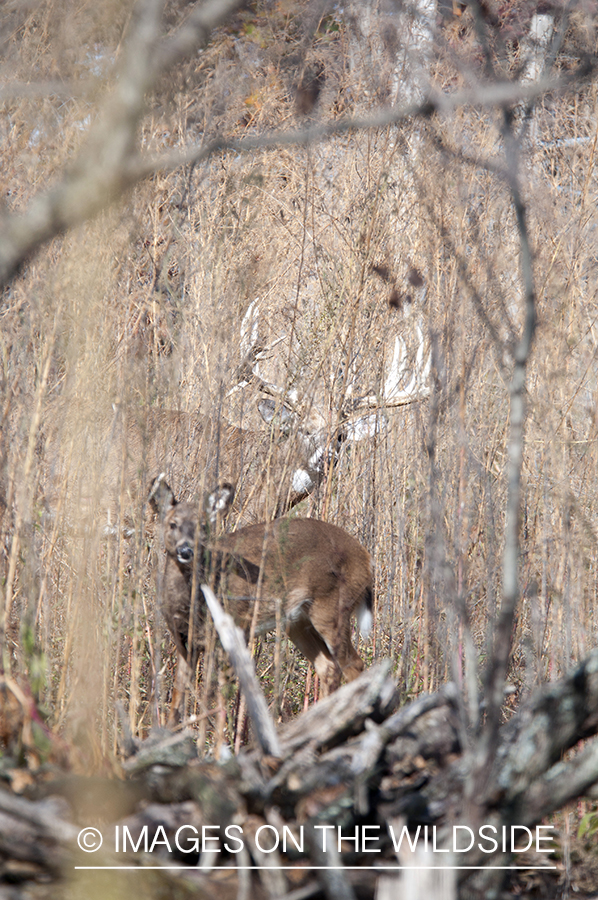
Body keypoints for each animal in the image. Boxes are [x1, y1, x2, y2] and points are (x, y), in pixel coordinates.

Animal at [150, 478, 376, 696]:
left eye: (203, 526)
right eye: (172, 524)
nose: (186, 550)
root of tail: (366, 559)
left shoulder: (234, 628)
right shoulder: (184, 643)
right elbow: (178, 695)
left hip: (333, 609)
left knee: (354, 664)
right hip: (298, 621)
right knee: (327, 665)